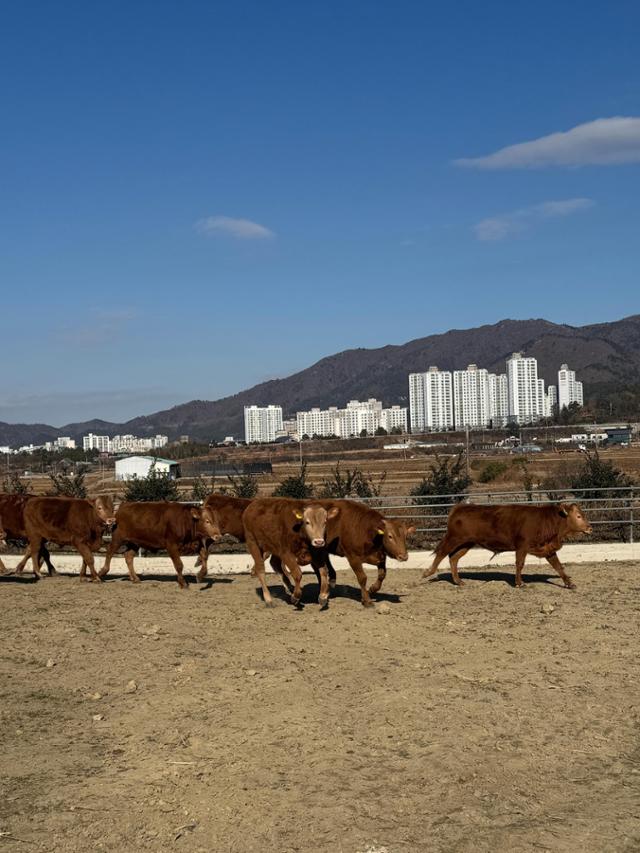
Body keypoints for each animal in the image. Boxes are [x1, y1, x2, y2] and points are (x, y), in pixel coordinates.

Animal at [422, 502, 592, 588]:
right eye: (578, 516)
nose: (590, 528)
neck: (547, 520)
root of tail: (459, 508)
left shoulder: (548, 549)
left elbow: (558, 567)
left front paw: (569, 583)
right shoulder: (522, 546)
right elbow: (519, 564)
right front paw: (519, 583)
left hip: (466, 543)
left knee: (453, 558)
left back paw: (458, 581)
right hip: (454, 538)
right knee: (442, 553)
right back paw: (428, 572)